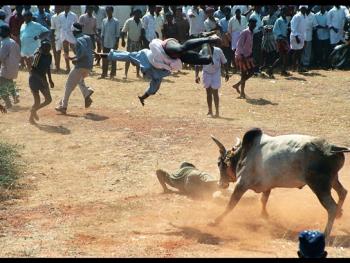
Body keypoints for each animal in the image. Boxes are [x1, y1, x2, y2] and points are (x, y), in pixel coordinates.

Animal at [209, 128, 348, 239]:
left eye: (219, 163)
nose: (220, 184)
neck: (244, 153)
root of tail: (332, 148)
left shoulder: (242, 184)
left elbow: (231, 204)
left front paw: (216, 221)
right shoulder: (267, 185)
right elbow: (263, 200)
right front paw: (264, 216)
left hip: (319, 186)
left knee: (331, 207)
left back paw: (326, 233)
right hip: (333, 180)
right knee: (343, 192)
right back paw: (340, 213)